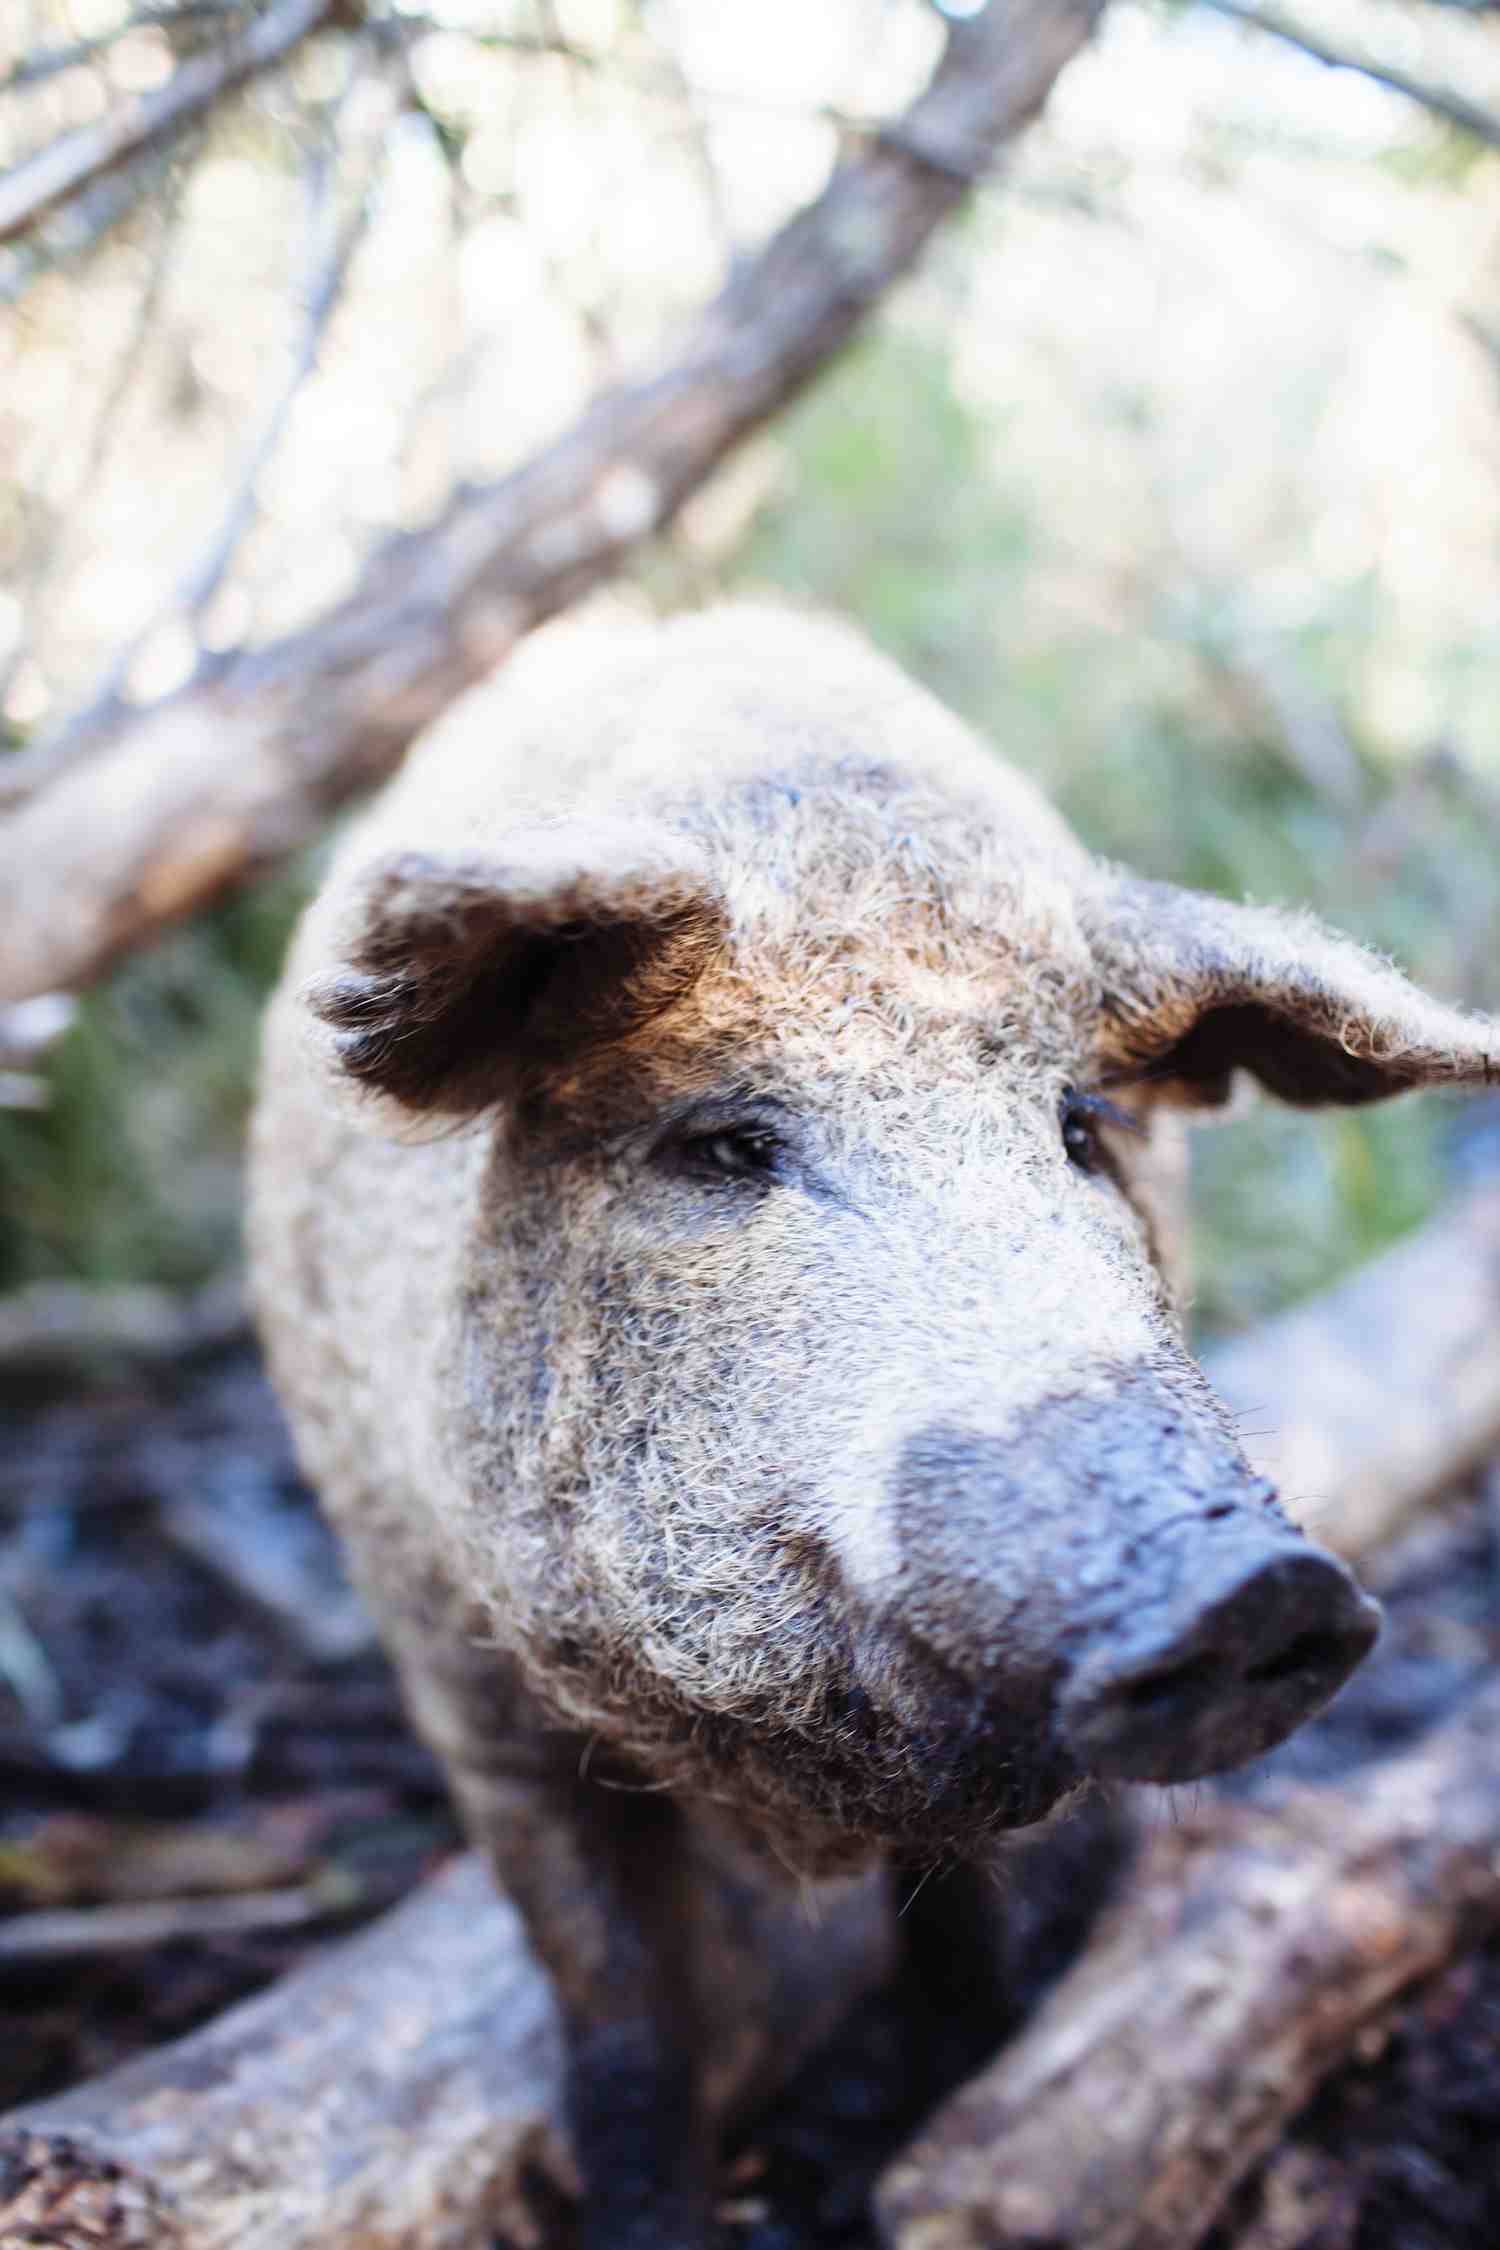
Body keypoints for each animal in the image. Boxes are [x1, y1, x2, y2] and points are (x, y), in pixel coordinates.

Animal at [248, 603, 1497, 2248]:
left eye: (1081, 1128)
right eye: (726, 1145)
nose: (1254, 1587)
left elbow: (978, 1930)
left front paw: (903, 2131)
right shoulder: (447, 1660)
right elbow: (614, 1997)